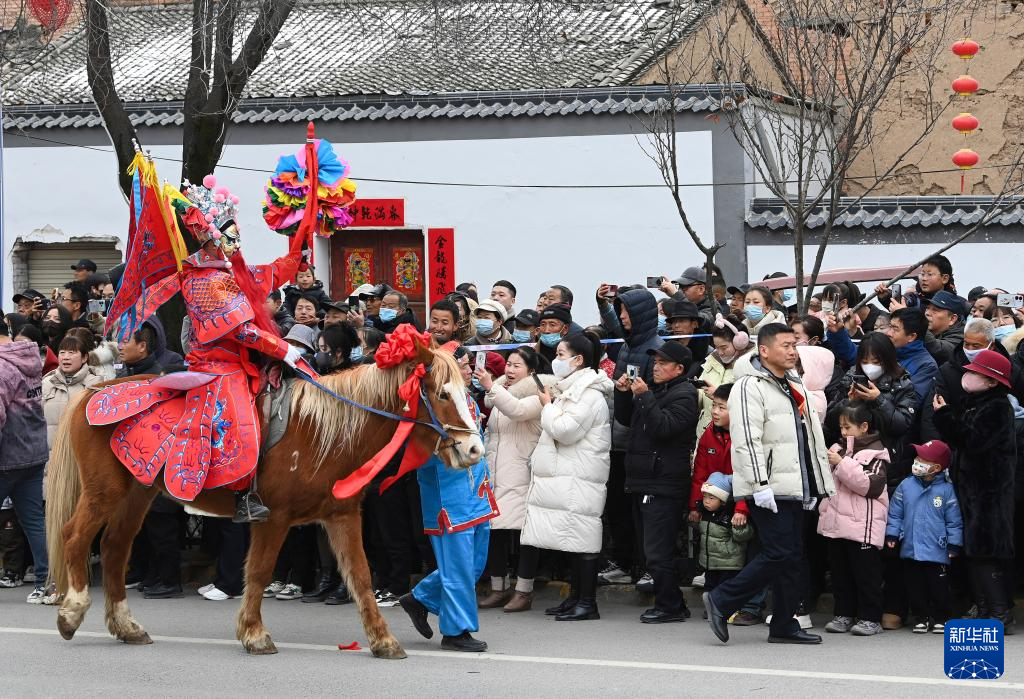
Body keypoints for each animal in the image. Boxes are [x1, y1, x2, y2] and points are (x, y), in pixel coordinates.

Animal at [44, 341, 483, 659]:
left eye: (468, 392)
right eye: (443, 394)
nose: (474, 449)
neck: (325, 431)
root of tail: (91, 392)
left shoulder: (341, 514)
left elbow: (360, 576)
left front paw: (382, 640)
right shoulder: (274, 517)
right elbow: (257, 572)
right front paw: (254, 634)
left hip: (139, 490)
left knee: (115, 548)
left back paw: (126, 625)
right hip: (105, 490)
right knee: (75, 536)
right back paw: (72, 611)